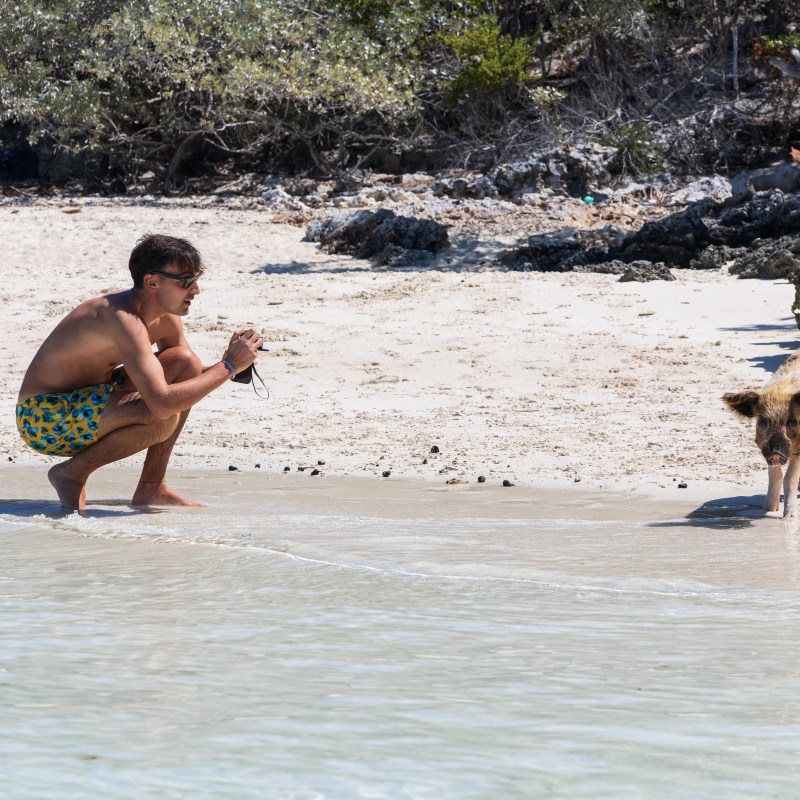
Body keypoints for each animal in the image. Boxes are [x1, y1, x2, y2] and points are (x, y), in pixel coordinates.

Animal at [723, 353, 800, 517]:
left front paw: (790, 517)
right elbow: (776, 477)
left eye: (791, 420)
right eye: (763, 420)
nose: (776, 453)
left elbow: (789, 479)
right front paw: (768, 510)